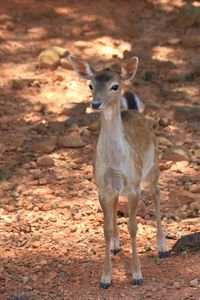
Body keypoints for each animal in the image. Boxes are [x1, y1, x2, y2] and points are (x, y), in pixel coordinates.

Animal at [68, 55, 168, 288]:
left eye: (114, 86)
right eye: (91, 85)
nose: (96, 103)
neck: (115, 162)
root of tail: (134, 110)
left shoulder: (133, 185)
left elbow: (133, 226)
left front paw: (137, 275)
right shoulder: (102, 186)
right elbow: (105, 228)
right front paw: (105, 278)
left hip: (152, 169)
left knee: (157, 196)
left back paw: (162, 248)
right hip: (116, 189)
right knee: (115, 210)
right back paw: (116, 245)